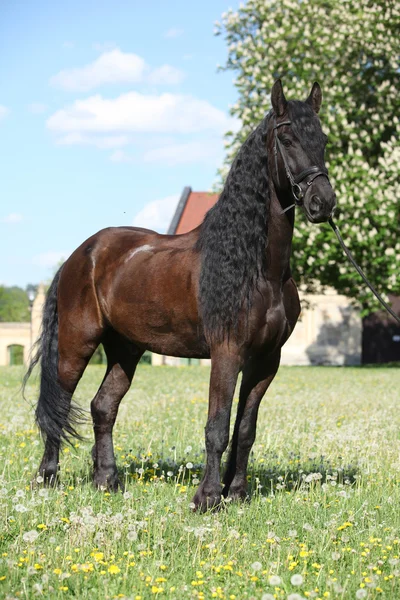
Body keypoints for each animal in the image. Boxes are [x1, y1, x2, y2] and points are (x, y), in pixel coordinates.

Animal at [25, 79, 336, 510]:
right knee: (58, 402)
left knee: (103, 407)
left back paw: (108, 481)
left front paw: (236, 493)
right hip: (76, 344)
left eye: (323, 140)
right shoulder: (227, 353)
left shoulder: (266, 361)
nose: (323, 202)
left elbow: (245, 430)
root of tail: (81, 254)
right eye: (287, 138)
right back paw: (47, 478)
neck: (257, 268)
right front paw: (206, 498)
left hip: (125, 350)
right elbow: (217, 427)